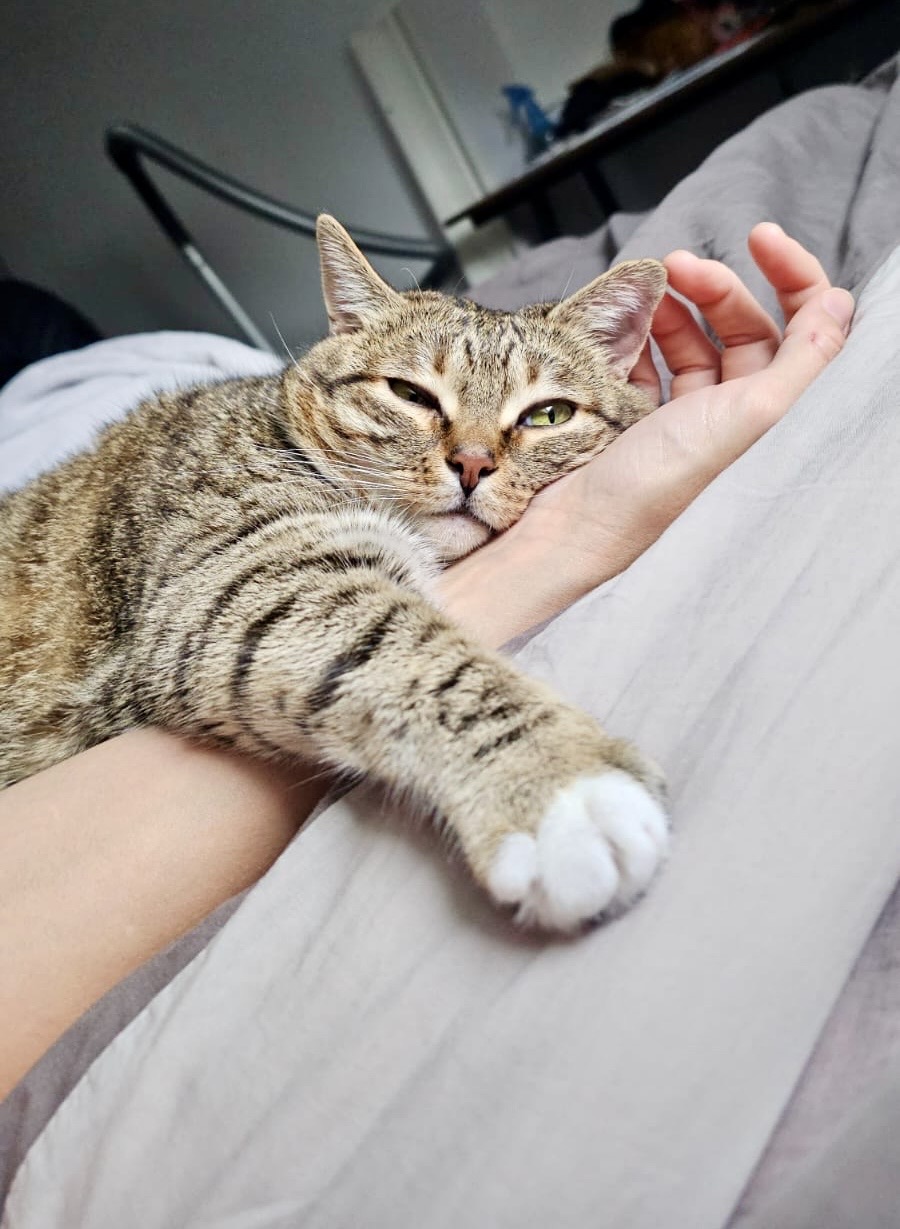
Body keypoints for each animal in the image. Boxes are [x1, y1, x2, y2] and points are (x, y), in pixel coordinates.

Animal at [0, 216, 669, 932]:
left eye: (549, 415)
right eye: (409, 394)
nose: (472, 463)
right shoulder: (235, 579)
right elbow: (422, 659)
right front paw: (554, 781)